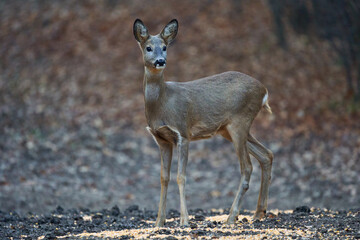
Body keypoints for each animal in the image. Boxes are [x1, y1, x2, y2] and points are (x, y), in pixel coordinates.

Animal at [134, 19, 274, 227]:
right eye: (148, 47)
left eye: (165, 47)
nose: (160, 61)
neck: (162, 104)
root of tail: (264, 91)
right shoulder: (161, 139)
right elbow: (163, 178)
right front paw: (159, 222)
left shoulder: (183, 132)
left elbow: (181, 176)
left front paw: (184, 220)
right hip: (228, 129)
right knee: (266, 154)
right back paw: (258, 213)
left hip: (239, 122)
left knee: (247, 167)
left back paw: (231, 217)